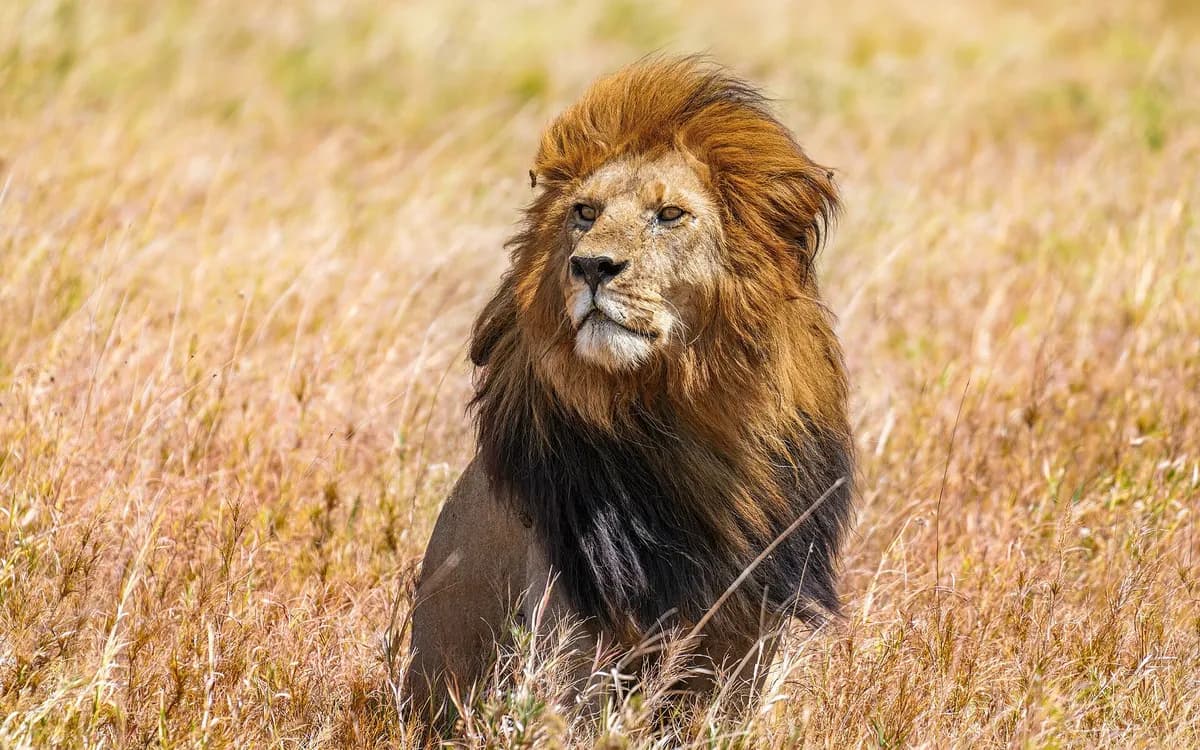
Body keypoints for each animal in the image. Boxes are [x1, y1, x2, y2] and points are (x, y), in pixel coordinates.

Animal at [404, 57, 855, 728]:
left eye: (668, 215)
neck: (680, 413)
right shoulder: (570, 619)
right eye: (585, 213)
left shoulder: (749, 627)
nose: (591, 266)